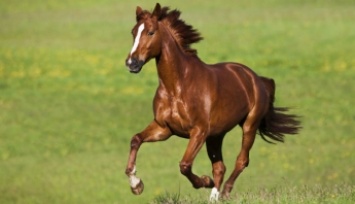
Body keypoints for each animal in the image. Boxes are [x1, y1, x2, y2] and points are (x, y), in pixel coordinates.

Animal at [124, 2, 300, 201]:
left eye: (151, 32)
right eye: (133, 32)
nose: (131, 63)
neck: (177, 87)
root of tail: (256, 79)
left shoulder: (199, 131)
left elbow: (184, 165)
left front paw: (204, 181)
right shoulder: (164, 128)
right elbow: (136, 139)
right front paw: (136, 185)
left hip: (249, 125)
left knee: (241, 161)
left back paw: (224, 192)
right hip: (216, 135)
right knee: (220, 167)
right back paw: (214, 196)